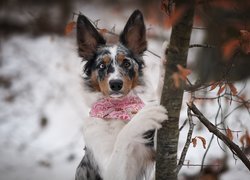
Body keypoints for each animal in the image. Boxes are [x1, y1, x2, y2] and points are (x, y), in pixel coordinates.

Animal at [74, 9, 168, 180]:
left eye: (126, 63)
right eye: (101, 65)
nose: (116, 84)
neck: (118, 109)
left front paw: (168, 61)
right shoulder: (110, 170)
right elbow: (123, 136)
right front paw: (143, 117)